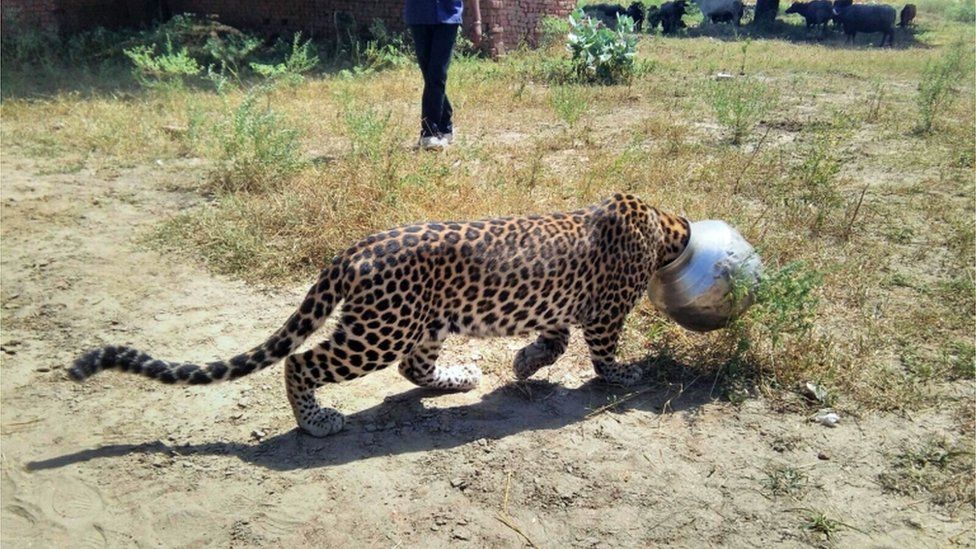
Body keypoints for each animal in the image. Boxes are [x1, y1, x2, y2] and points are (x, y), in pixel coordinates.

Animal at [70, 193, 692, 436]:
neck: (662, 223)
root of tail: (352, 250)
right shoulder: (606, 313)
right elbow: (603, 354)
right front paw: (627, 374)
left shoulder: (562, 306)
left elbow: (554, 339)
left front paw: (522, 362)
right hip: (379, 330)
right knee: (300, 362)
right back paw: (316, 421)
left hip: (424, 322)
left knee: (413, 368)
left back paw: (460, 378)